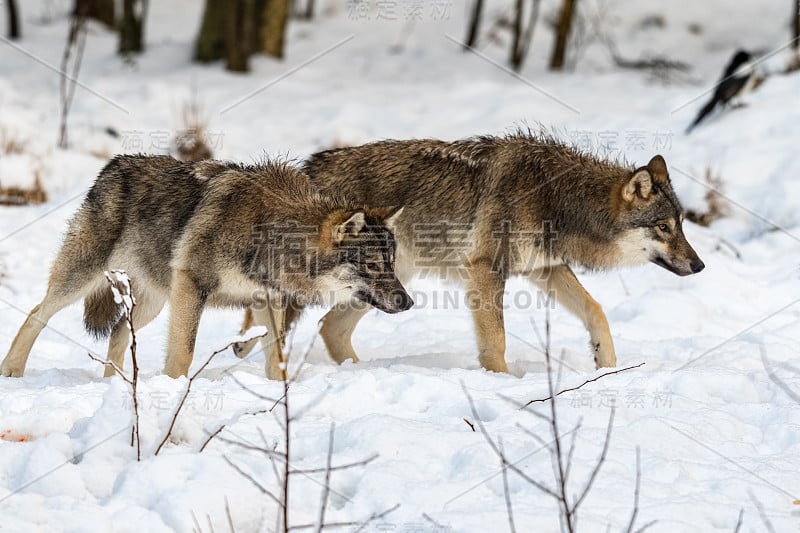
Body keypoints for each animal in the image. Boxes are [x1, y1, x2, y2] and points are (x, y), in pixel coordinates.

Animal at [0, 153, 410, 378]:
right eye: (373, 264)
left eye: (391, 263)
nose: (408, 302)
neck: (272, 233)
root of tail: (114, 165)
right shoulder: (192, 288)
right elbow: (184, 352)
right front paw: (175, 391)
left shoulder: (267, 300)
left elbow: (276, 357)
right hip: (83, 278)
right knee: (36, 313)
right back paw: (12, 371)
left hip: (155, 301)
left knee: (118, 333)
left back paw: (113, 385)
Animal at [234, 132, 704, 372]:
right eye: (664, 227)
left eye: (682, 224)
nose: (699, 265)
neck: (556, 197)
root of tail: (304, 170)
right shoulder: (485, 270)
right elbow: (496, 341)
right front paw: (501, 381)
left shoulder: (545, 270)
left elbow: (597, 312)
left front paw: (606, 365)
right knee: (283, 325)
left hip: (387, 286)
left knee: (330, 328)